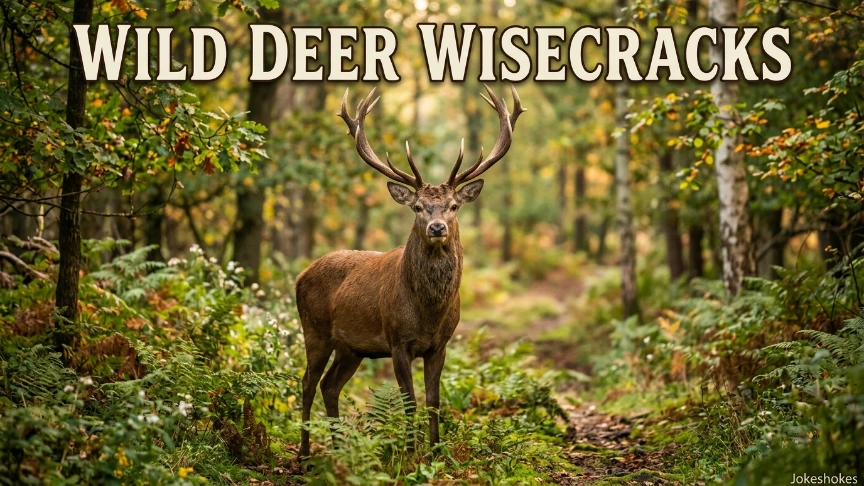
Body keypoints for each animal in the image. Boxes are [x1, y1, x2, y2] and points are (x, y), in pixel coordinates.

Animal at [295, 84, 525, 458]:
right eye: (417, 207)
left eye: (454, 206)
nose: (436, 227)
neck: (428, 312)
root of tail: (301, 275)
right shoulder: (397, 341)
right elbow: (409, 401)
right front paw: (409, 452)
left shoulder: (441, 344)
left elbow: (433, 400)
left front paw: (435, 452)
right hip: (314, 329)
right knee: (307, 382)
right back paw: (304, 452)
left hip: (351, 348)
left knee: (330, 386)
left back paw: (340, 449)